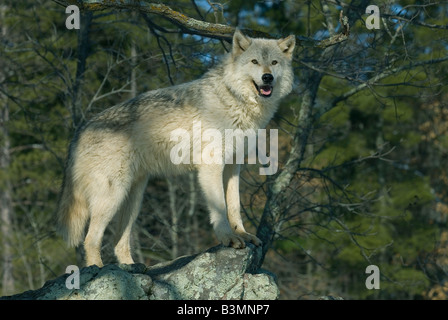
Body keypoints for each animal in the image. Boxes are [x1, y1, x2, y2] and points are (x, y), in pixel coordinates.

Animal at [56, 28, 296, 266]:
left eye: (274, 62)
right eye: (255, 61)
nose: (267, 77)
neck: (234, 99)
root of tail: (81, 129)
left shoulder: (233, 166)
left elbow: (234, 205)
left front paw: (243, 234)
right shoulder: (211, 166)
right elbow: (219, 208)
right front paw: (229, 239)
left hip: (133, 199)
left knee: (118, 243)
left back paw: (131, 268)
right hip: (112, 196)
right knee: (90, 240)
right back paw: (98, 270)